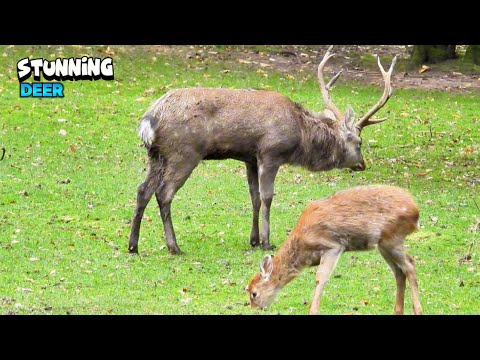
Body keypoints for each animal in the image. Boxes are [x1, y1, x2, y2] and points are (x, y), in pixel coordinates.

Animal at [127, 46, 398, 255]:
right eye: (359, 142)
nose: (362, 164)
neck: (300, 134)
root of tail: (149, 120)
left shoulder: (249, 157)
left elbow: (254, 197)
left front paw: (254, 239)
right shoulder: (271, 153)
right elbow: (267, 196)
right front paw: (267, 242)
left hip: (156, 155)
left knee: (143, 190)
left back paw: (133, 245)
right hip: (184, 152)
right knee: (164, 193)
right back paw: (174, 246)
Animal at [248, 186, 424, 316]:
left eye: (253, 293)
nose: (255, 308)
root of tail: (415, 211)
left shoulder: (332, 246)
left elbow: (321, 277)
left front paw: (313, 310)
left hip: (392, 237)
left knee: (410, 265)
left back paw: (418, 310)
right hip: (383, 245)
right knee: (399, 271)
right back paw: (398, 311)